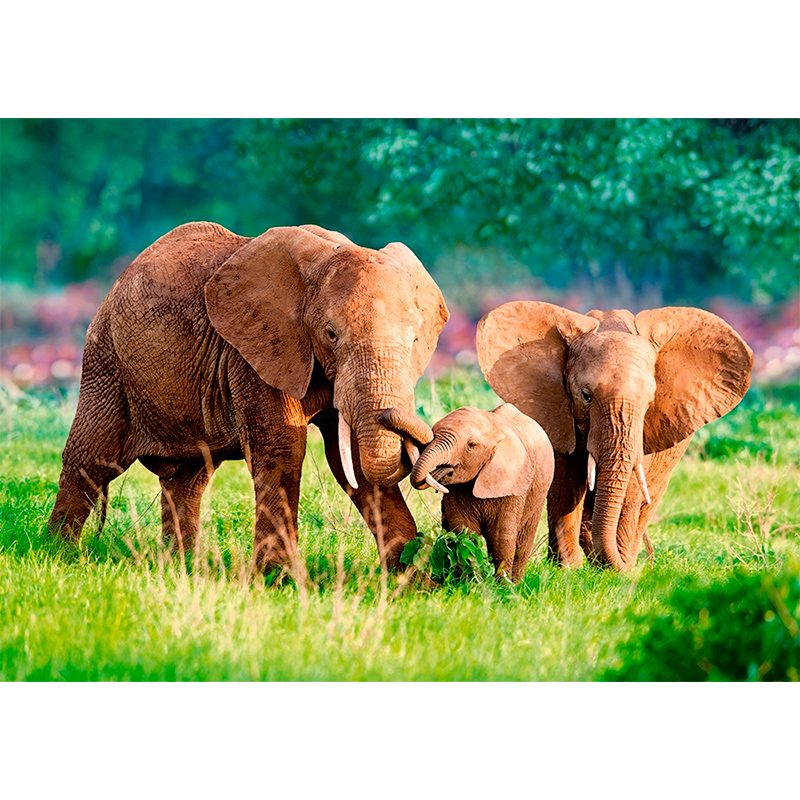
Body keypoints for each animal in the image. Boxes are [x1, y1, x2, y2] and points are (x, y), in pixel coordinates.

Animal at [48, 222, 449, 572]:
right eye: (331, 334)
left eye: (415, 339)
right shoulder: (255, 351)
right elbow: (285, 447)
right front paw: (278, 579)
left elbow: (348, 460)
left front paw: (411, 577)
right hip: (106, 360)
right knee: (92, 458)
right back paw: (59, 553)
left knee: (187, 479)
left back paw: (183, 566)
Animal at [408, 403, 555, 581]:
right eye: (432, 436)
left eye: (471, 445)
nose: (442, 470)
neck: (493, 427)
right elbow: (464, 531)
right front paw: (470, 581)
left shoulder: (514, 484)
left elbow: (501, 537)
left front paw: (502, 585)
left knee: (523, 544)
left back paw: (517, 582)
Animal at [476, 302, 753, 571]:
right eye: (586, 395)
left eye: (650, 401)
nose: (642, 565)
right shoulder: (557, 414)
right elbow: (566, 482)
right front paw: (568, 569)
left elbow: (630, 487)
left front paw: (619, 569)